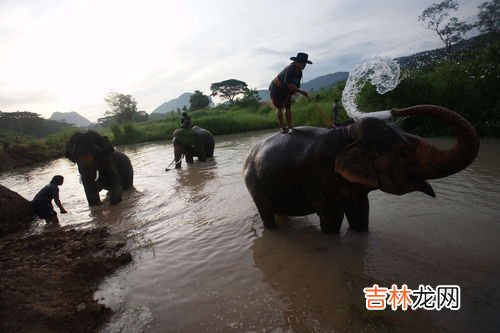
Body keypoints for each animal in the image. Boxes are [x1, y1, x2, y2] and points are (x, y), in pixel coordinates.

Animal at [244, 105, 478, 232]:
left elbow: (361, 212)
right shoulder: (322, 177)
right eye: (402, 152)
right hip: (252, 181)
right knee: (266, 212)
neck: (348, 134)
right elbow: (332, 218)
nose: (394, 110)